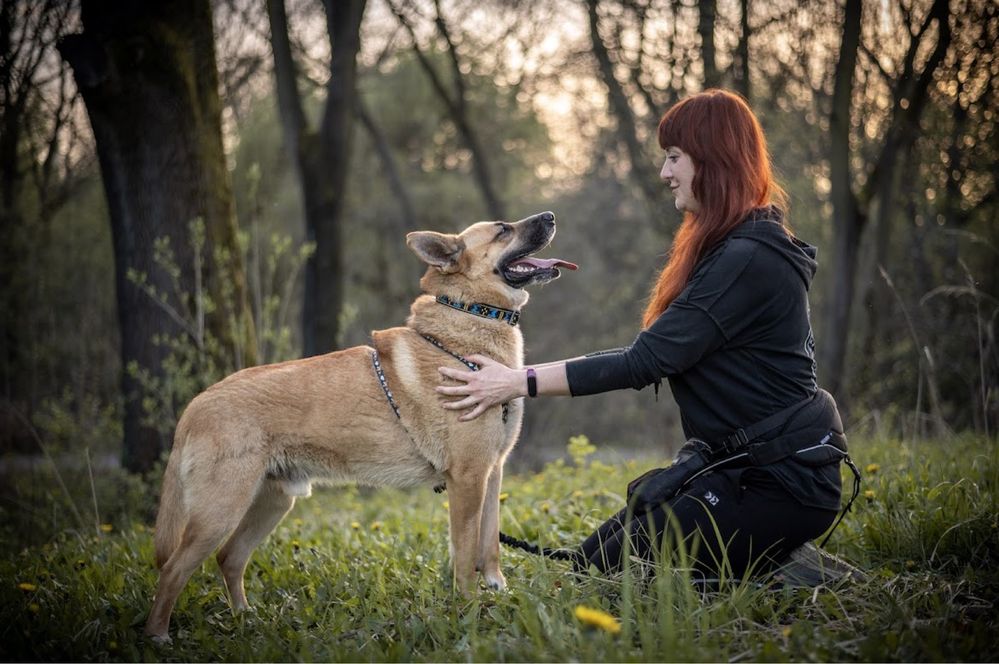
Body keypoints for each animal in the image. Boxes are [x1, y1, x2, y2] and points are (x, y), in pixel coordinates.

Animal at [144, 211, 576, 640]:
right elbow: (466, 552)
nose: (552, 216)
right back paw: (158, 637)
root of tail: (196, 405)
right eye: (503, 229)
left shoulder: (491, 472)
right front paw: (469, 609)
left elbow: (489, 547)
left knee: (229, 558)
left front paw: (496, 591)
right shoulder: (468, 479)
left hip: (271, 503)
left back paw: (244, 618)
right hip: (220, 512)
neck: (466, 322)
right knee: (173, 570)